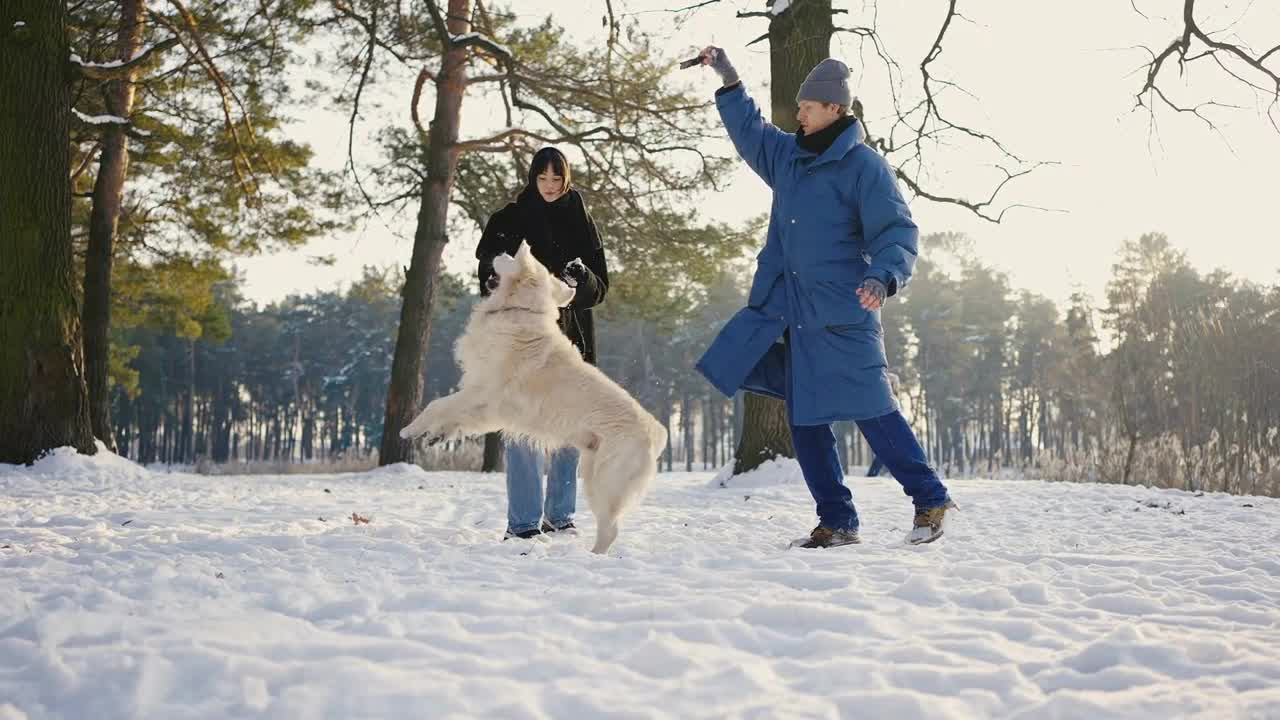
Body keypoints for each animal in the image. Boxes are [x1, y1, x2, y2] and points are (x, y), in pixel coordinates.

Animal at [401, 240, 670, 548]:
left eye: (512, 257)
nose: (496, 252)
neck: (518, 309)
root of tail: (659, 432)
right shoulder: (485, 407)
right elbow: (452, 417)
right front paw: (436, 435)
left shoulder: (483, 394)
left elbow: (436, 405)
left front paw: (409, 429)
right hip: (592, 470)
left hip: (605, 481)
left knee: (610, 529)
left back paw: (590, 555)